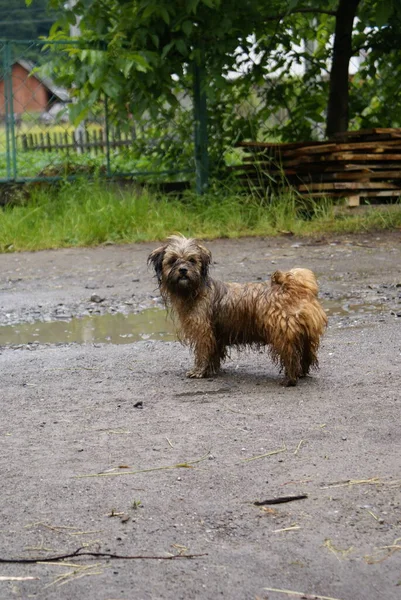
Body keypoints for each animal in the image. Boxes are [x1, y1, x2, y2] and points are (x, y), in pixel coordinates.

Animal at [148, 234, 326, 384]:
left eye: (192, 260)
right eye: (173, 260)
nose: (183, 270)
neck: (196, 290)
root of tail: (292, 288)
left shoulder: (203, 331)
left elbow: (203, 352)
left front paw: (199, 371)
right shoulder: (216, 334)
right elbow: (214, 353)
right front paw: (211, 369)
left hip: (282, 333)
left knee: (290, 355)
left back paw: (290, 379)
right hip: (306, 336)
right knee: (306, 355)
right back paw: (301, 373)